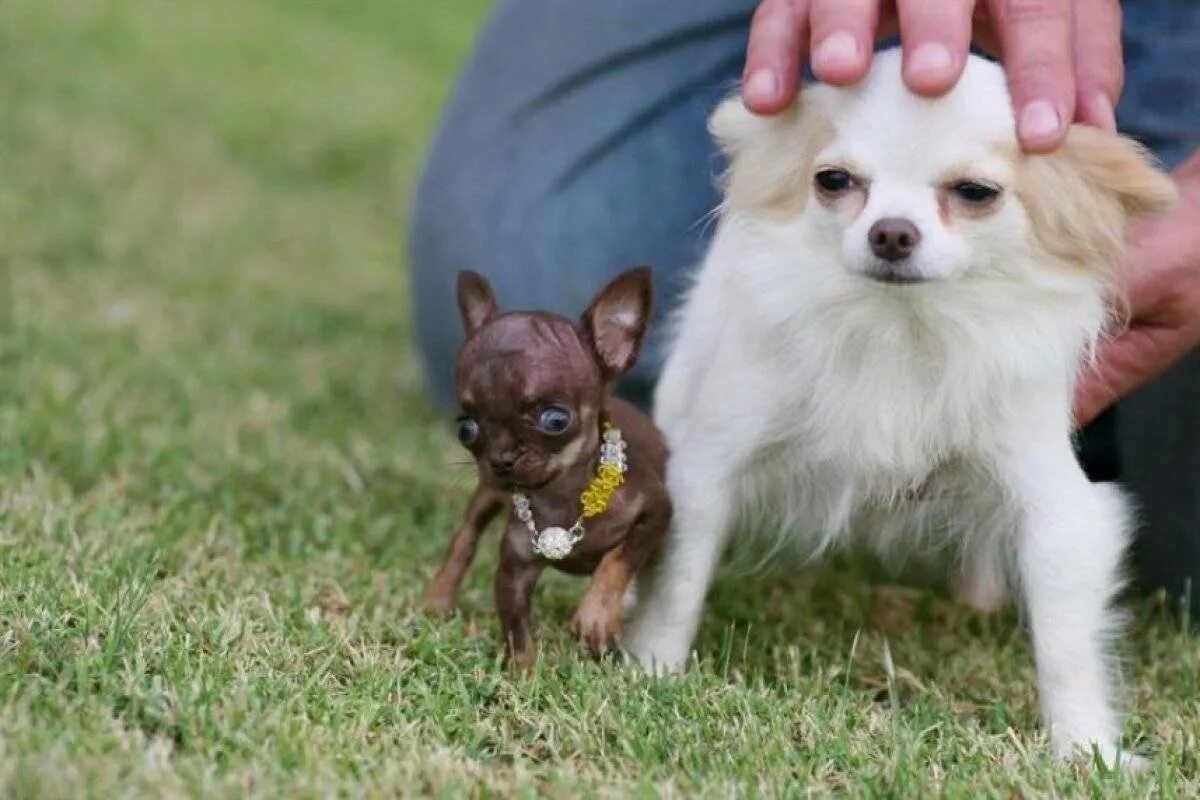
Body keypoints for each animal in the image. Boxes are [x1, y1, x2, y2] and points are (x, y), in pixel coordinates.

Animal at [424, 267, 672, 671]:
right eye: (466, 428)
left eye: (555, 420)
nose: (501, 459)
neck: (564, 496)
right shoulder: (514, 571)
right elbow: (516, 632)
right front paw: (524, 673)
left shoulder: (656, 511)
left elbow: (618, 559)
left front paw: (596, 615)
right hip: (486, 498)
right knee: (464, 539)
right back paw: (438, 598)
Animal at [624, 50, 1176, 762]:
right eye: (834, 181)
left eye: (975, 193)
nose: (891, 232)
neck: (902, 329)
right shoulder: (706, 469)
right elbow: (678, 582)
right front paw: (651, 668)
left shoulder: (1057, 506)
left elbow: (1065, 647)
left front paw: (1086, 751)